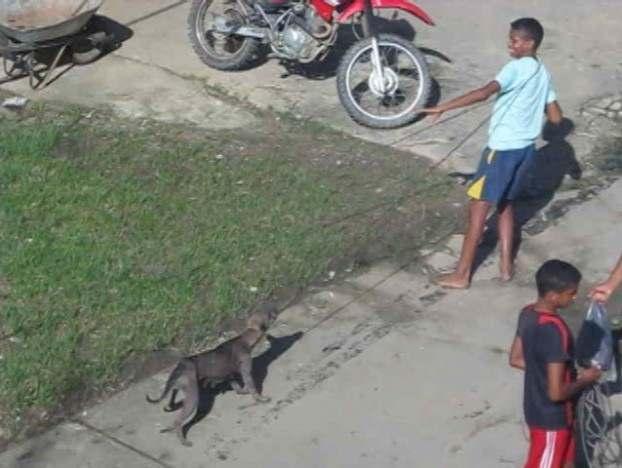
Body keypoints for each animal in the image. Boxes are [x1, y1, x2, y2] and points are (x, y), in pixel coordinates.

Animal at [147, 304, 278, 446]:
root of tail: (181, 365)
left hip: (179, 388)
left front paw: (243, 391)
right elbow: (252, 387)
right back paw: (183, 440)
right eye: (269, 314)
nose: (275, 309)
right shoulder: (246, 371)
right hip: (193, 396)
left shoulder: (230, 374)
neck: (246, 338)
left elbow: (238, 386)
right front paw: (261, 399)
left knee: (173, 403)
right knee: (178, 421)